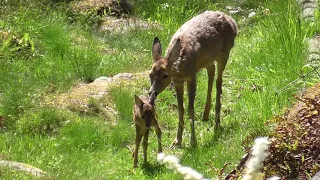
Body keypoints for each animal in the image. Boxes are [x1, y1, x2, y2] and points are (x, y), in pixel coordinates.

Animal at [149, 10, 236, 148]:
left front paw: (193, 142)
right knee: (211, 71)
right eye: (150, 74)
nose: (152, 92)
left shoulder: (191, 77)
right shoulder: (178, 82)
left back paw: (217, 124)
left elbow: (190, 109)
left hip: (225, 52)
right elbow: (181, 109)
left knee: (219, 81)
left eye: (165, 75)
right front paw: (177, 141)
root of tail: (232, 21)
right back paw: (206, 115)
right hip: (209, 59)